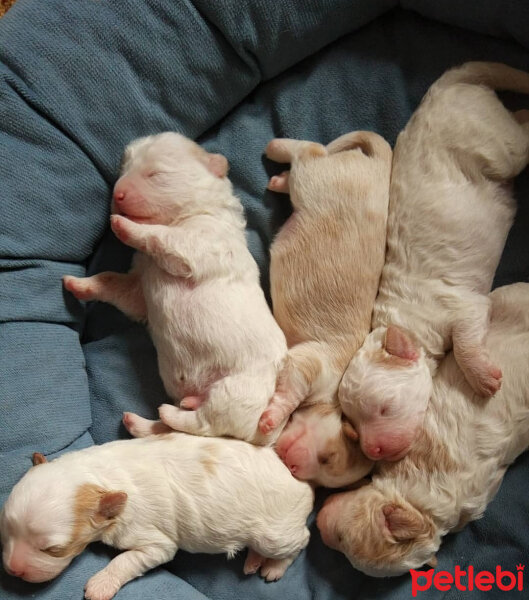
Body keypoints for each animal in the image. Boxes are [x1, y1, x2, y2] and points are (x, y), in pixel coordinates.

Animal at [2, 428, 312, 596]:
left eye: (53, 550)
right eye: (6, 533)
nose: (13, 570)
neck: (96, 476)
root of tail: (303, 483)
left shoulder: (154, 541)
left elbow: (126, 560)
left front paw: (101, 585)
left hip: (275, 533)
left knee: (301, 540)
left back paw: (273, 566)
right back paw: (253, 560)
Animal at [66, 134, 290, 448]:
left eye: (155, 174)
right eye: (124, 170)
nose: (117, 195)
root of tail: (263, 435)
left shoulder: (200, 243)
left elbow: (161, 236)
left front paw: (125, 226)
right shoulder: (138, 286)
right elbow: (113, 281)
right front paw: (79, 284)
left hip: (237, 389)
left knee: (204, 423)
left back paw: (169, 413)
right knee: (173, 431)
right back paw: (142, 421)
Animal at [336, 62, 528, 460]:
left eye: (384, 408)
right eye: (354, 421)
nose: (373, 450)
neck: (405, 320)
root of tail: (443, 87)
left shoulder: (463, 307)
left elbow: (468, 341)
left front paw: (484, 379)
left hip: (494, 142)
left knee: (519, 139)